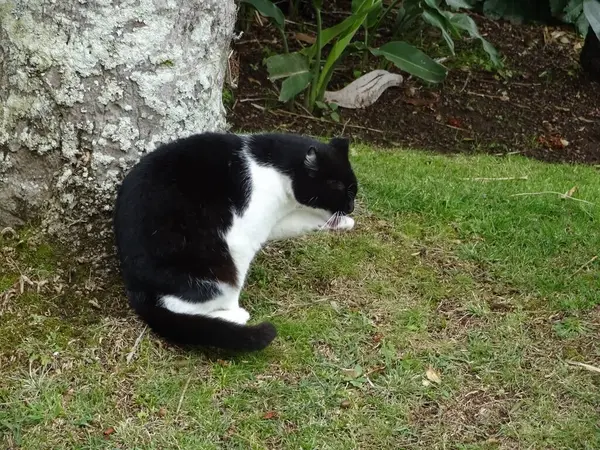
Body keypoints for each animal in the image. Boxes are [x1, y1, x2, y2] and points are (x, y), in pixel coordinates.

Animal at [113, 132, 356, 354]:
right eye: (340, 189)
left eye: (354, 190)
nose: (352, 207)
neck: (274, 167)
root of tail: (136, 288)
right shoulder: (245, 233)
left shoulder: (275, 221)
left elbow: (305, 221)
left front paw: (343, 222)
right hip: (211, 264)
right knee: (188, 302)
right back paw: (232, 317)